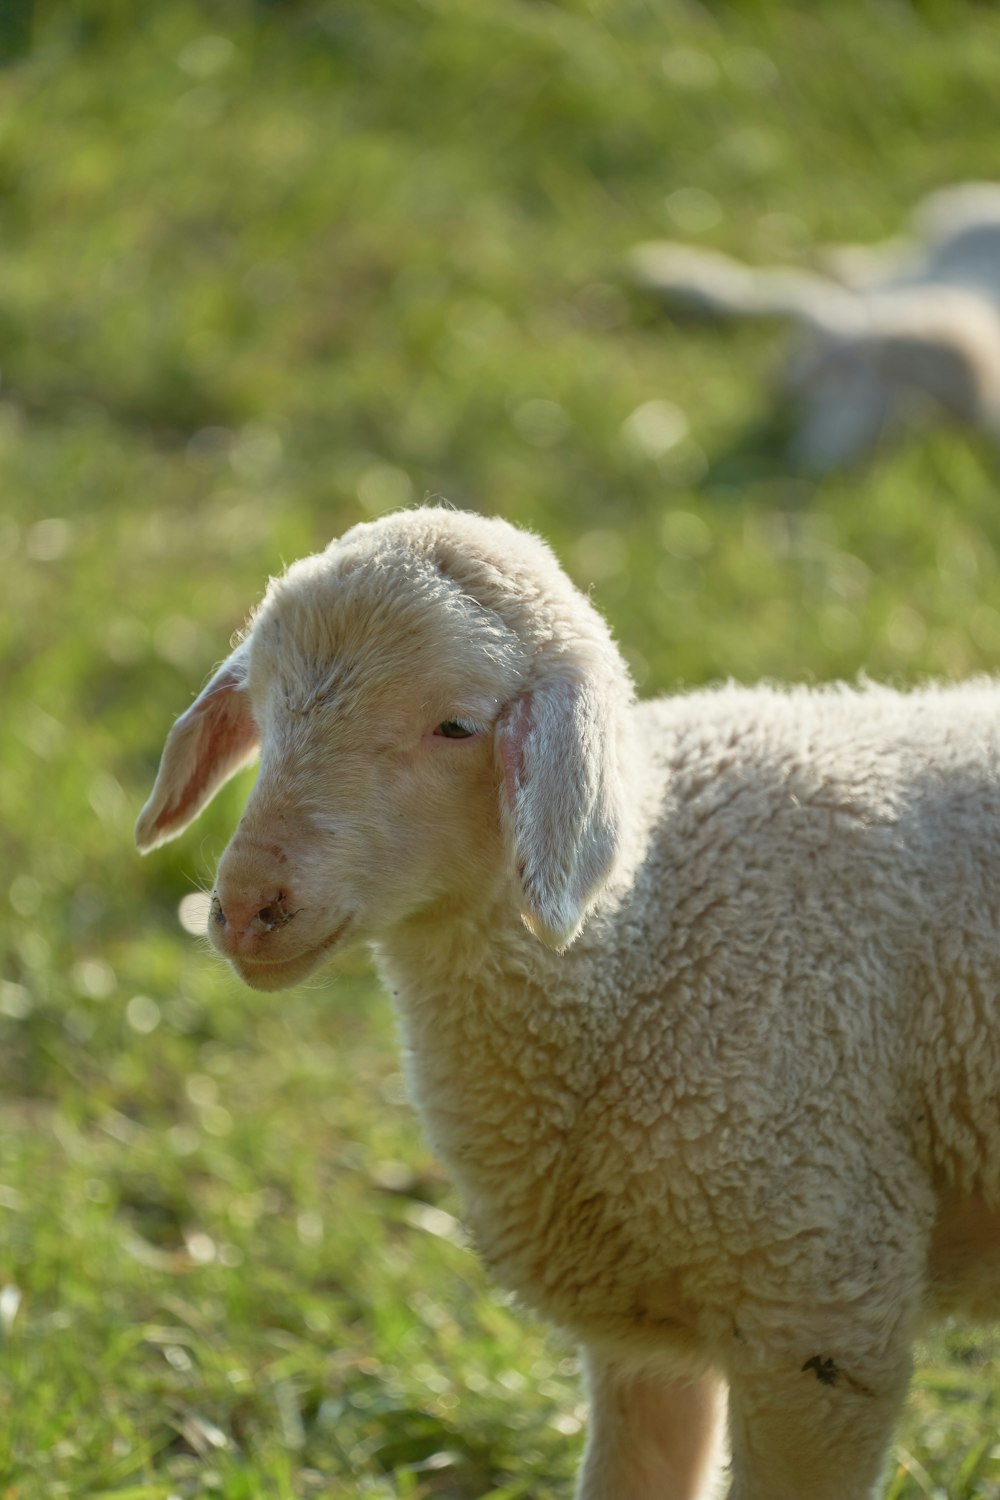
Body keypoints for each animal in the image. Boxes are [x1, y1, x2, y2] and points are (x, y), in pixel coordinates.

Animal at [137, 504, 1000, 1500]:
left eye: (457, 726)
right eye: (267, 709)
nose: (245, 906)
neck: (646, 925)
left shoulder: (822, 1303)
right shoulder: (647, 1328)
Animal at [632, 185, 1000, 471]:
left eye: (896, 439)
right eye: (840, 383)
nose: (814, 463)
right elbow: (773, 292)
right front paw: (670, 273)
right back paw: (842, 259)